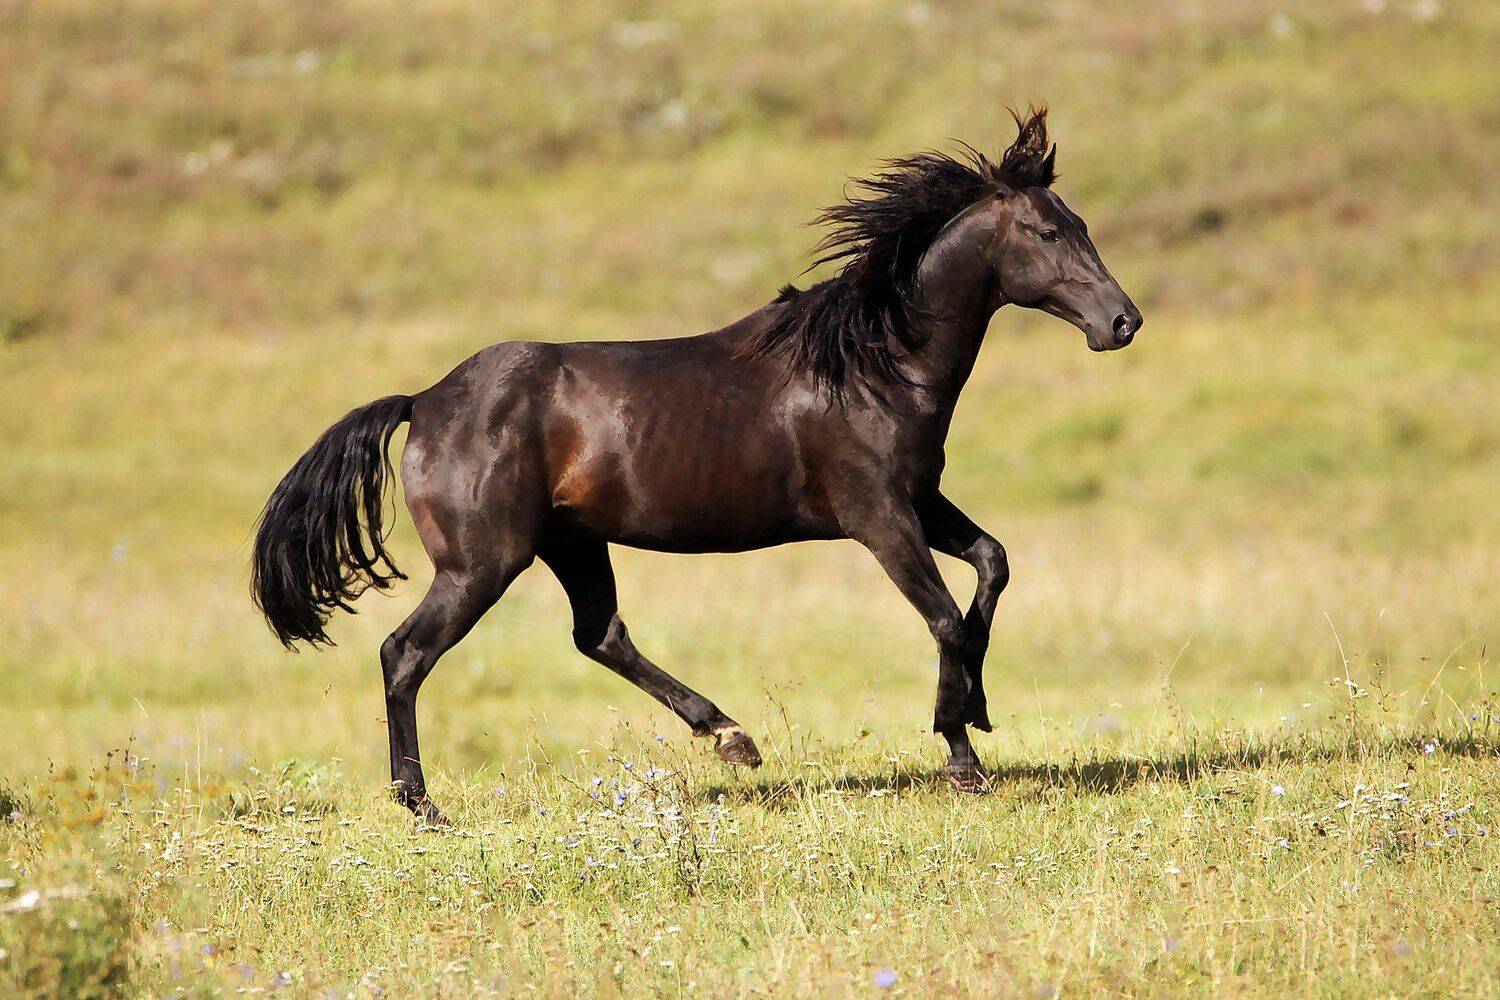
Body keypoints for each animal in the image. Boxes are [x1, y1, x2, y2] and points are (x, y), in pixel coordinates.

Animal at [252, 107, 1141, 825]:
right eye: (1051, 233)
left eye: (1081, 221)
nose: (1122, 322)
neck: (872, 362)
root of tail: (425, 401)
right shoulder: (878, 516)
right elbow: (946, 618)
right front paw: (961, 752)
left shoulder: (921, 499)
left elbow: (992, 564)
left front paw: (979, 708)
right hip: (482, 563)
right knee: (404, 654)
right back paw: (423, 806)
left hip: (571, 542)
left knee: (599, 635)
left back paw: (731, 737)